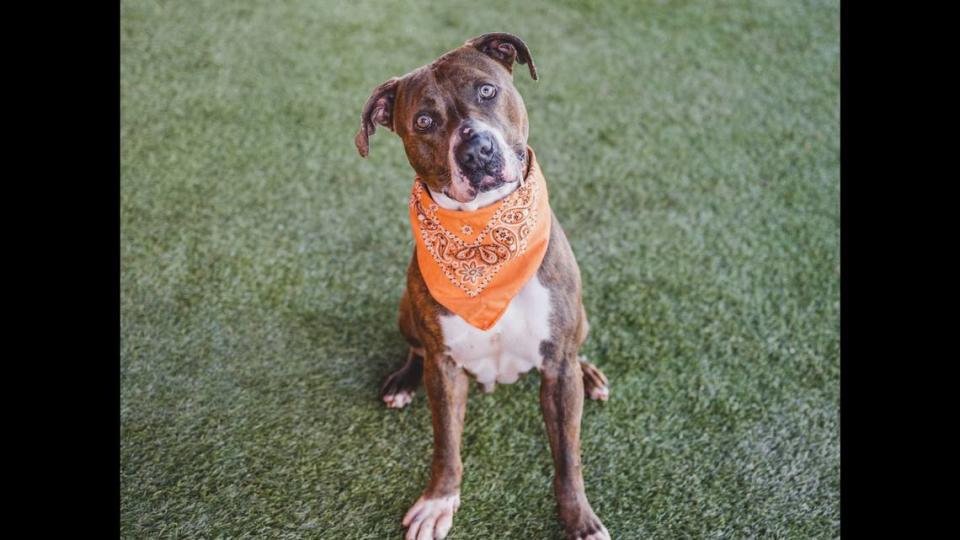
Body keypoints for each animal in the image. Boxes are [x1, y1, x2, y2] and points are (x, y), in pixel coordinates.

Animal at [356, 33, 612, 540]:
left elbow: (567, 456)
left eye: (487, 91)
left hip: (580, 323)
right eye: (424, 121)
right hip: (405, 309)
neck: (482, 239)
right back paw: (402, 382)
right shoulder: (445, 369)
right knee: (414, 349)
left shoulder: (557, 369)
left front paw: (580, 519)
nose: (477, 151)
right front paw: (439, 500)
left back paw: (591, 374)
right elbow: (446, 446)